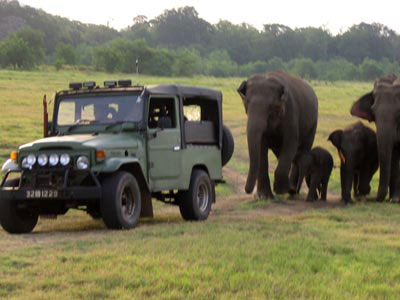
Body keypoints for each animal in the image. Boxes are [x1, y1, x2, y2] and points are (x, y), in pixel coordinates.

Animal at [238, 69, 318, 198]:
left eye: (271, 106)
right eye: (247, 103)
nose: (247, 191)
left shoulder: (291, 114)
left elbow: (290, 144)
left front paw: (281, 190)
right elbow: (261, 148)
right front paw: (265, 196)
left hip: (313, 124)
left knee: (302, 151)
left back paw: (292, 190)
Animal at [350, 74, 400, 203]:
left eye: (399, 112)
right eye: (373, 112)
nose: (367, 193)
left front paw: (396, 199)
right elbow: (394, 155)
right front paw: (394, 199)